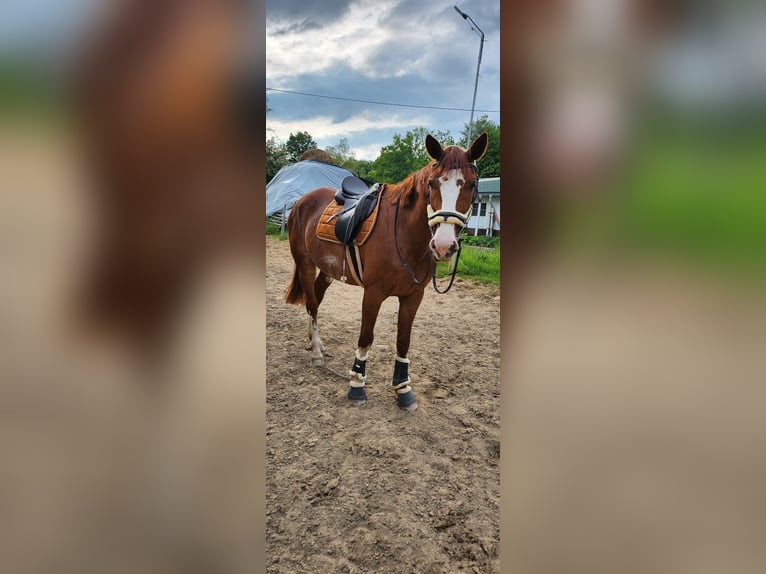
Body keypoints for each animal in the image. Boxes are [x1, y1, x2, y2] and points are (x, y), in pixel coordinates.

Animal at [284, 133, 488, 412]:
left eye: (470, 185)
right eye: (432, 184)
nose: (444, 246)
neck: (402, 233)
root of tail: (302, 201)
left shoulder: (413, 296)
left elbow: (403, 339)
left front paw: (403, 389)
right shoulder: (373, 293)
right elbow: (366, 336)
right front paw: (356, 385)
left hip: (327, 270)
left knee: (315, 299)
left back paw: (314, 341)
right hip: (305, 263)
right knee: (312, 304)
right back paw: (316, 352)